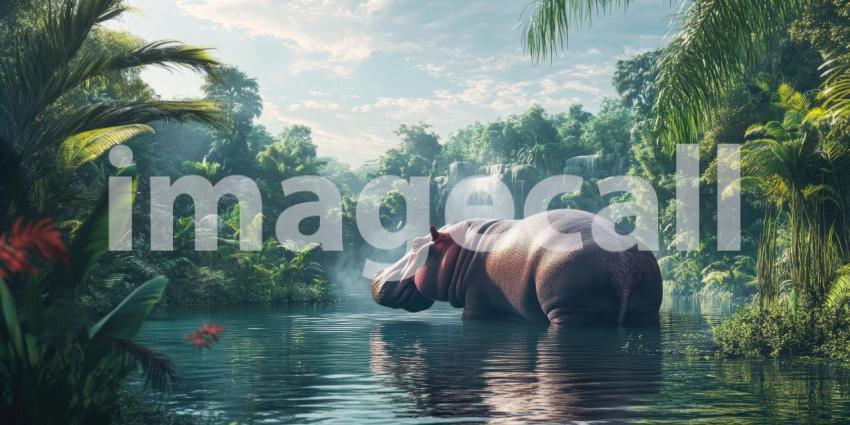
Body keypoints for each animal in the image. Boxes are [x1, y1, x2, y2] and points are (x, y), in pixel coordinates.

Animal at [370, 210, 662, 325]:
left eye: (415, 244)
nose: (376, 274)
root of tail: (623, 268)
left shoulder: (476, 307)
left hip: (569, 309)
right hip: (646, 310)